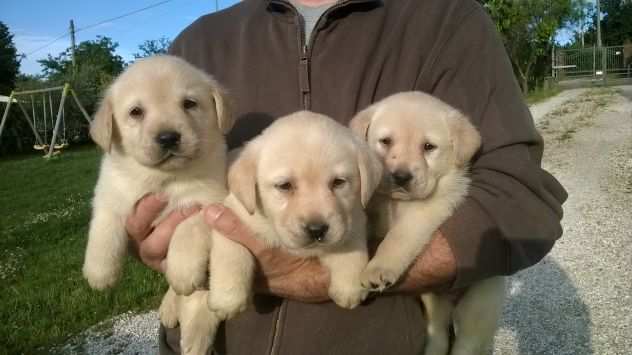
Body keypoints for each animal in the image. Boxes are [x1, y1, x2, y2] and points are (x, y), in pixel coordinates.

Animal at [81, 55, 233, 355]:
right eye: (136, 112)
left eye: (189, 103)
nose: (168, 137)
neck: (163, 179)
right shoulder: (110, 193)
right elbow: (104, 231)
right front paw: (100, 273)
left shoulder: (209, 200)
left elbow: (188, 228)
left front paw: (182, 270)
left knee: (198, 304)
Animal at [210, 112, 382, 322]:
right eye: (284, 185)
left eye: (339, 182)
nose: (316, 230)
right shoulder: (232, 213)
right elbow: (232, 252)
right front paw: (227, 299)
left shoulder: (354, 216)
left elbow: (349, 243)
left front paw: (349, 286)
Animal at [348, 92, 506, 355]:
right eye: (385, 141)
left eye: (428, 147)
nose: (401, 177)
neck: (396, 202)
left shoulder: (425, 212)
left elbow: (396, 238)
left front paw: (378, 268)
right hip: (433, 300)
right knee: (438, 332)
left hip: (480, 301)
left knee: (467, 343)